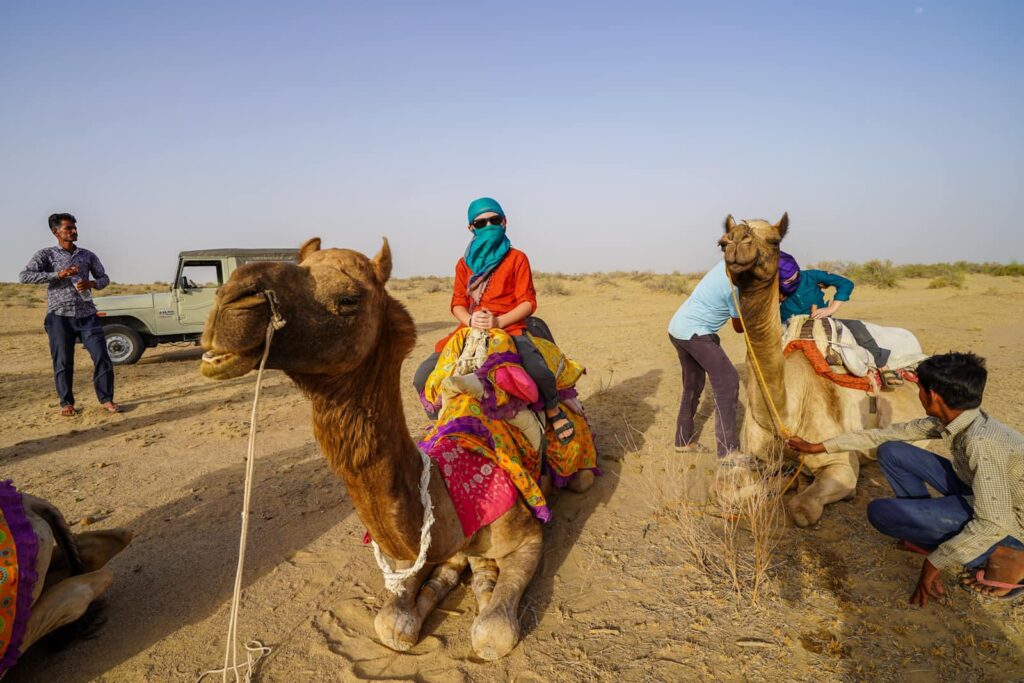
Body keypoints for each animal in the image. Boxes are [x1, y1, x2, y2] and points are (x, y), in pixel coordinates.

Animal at [199, 237, 588, 660]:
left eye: (348, 299)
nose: (231, 300)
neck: (449, 490)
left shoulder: (528, 537)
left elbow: (492, 632)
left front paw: (482, 595)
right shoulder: (415, 552)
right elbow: (390, 622)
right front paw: (436, 592)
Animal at [718, 214, 922, 526]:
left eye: (775, 241)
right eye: (722, 242)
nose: (737, 241)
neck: (785, 414)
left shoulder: (840, 462)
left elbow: (803, 508)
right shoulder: (752, 455)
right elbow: (725, 491)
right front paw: (782, 480)